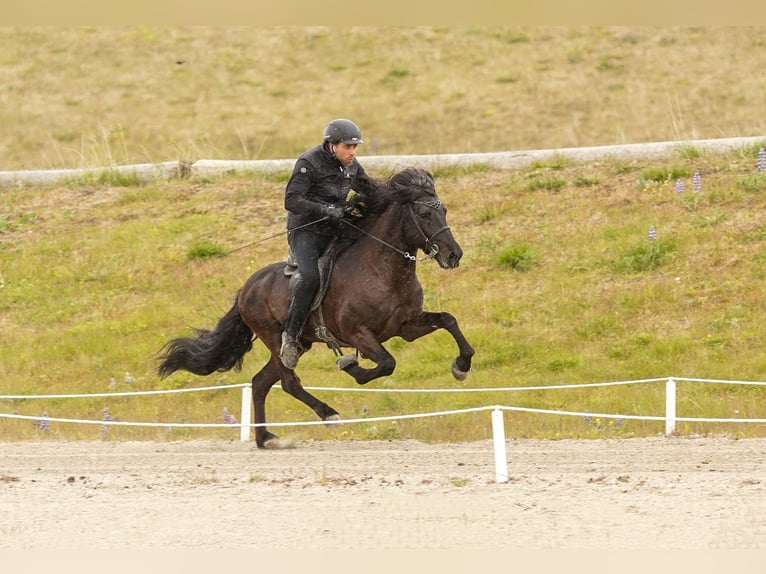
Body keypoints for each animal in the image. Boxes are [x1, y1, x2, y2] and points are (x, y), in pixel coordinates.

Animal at [157, 167, 475, 448]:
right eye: (424, 214)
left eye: (444, 211)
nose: (453, 255)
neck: (382, 269)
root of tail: (247, 288)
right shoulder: (359, 333)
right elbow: (387, 363)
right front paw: (352, 368)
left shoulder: (406, 327)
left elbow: (449, 321)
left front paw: (461, 366)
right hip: (275, 339)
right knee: (289, 383)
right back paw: (327, 414)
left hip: (300, 343)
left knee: (260, 383)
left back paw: (265, 439)